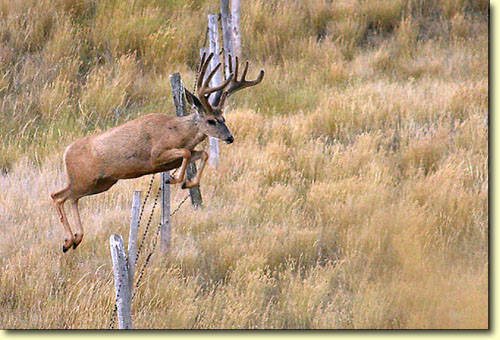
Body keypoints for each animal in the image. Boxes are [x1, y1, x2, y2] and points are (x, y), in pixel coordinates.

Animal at [49, 53, 264, 252]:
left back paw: (76, 239)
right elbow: (187, 153)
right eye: (211, 120)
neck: (177, 132)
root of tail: (66, 151)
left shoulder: (174, 158)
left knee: (72, 198)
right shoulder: (156, 155)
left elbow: (202, 154)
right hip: (84, 179)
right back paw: (68, 241)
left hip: (101, 182)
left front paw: (188, 182)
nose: (230, 138)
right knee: (58, 196)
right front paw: (176, 180)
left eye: (224, 118)